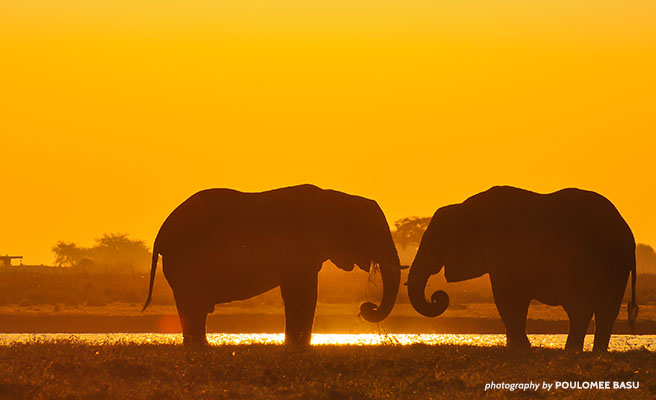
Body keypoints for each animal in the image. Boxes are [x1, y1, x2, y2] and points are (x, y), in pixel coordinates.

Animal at [142, 184, 401, 345]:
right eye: (372, 232)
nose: (367, 307)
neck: (339, 197)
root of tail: (160, 235)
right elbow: (303, 293)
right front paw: (297, 347)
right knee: (192, 303)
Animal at [407, 186, 638, 352]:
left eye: (435, 241)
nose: (437, 296)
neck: (466, 208)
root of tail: (628, 231)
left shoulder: (506, 252)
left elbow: (507, 298)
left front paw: (519, 349)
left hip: (608, 260)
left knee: (586, 306)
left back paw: (577, 351)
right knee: (597, 309)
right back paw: (587, 352)